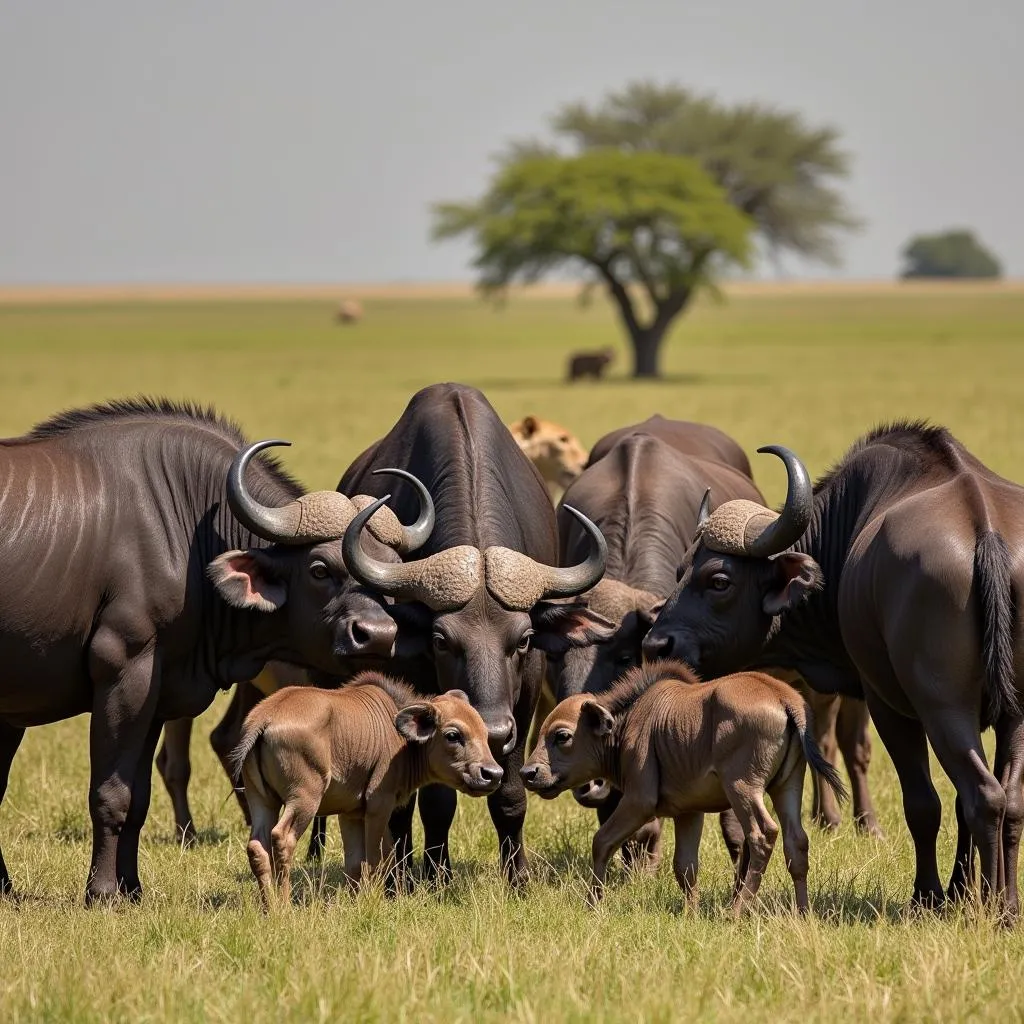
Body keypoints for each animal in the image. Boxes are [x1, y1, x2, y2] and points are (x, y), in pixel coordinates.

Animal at [0, 399, 430, 905]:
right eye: (320, 568)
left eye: (390, 570)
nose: (378, 635)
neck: (182, 531)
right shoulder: (124, 678)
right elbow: (112, 794)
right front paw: (103, 893)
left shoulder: (156, 696)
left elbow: (138, 796)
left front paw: (132, 889)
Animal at [233, 675, 503, 909]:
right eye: (453, 735)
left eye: (484, 733)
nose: (493, 773)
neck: (398, 736)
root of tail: (266, 716)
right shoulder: (379, 806)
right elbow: (376, 858)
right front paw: (372, 902)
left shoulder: (351, 813)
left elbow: (357, 861)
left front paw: (356, 901)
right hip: (303, 800)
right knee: (282, 838)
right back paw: (284, 906)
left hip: (262, 801)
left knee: (257, 846)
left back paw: (269, 908)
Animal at [335, 382, 606, 880]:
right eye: (442, 641)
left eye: (523, 640)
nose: (494, 730)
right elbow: (433, 799)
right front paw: (432, 876)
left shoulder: (526, 695)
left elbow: (511, 796)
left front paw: (517, 879)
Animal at [524, 663, 843, 913]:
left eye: (562, 736)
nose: (528, 773)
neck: (631, 720)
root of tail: (783, 696)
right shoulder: (688, 812)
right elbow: (685, 867)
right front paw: (691, 912)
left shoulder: (638, 802)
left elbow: (602, 841)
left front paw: (592, 904)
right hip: (787, 787)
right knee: (796, 842)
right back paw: (802, 913)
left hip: (742, 788)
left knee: (763, 834)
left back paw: (735, 912)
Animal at [643, 423, 1024, 913]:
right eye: (679, 572)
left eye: (719, 580)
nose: (657, 643)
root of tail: (987, 529)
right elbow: (958, 804)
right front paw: (959, 892)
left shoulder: (886, 705)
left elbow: (924, 804)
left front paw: (929, 897)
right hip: (1012, 712)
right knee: (1007, 800)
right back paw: (1008, 906)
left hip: (942, 708)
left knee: (983, 796)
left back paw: (993, 908)